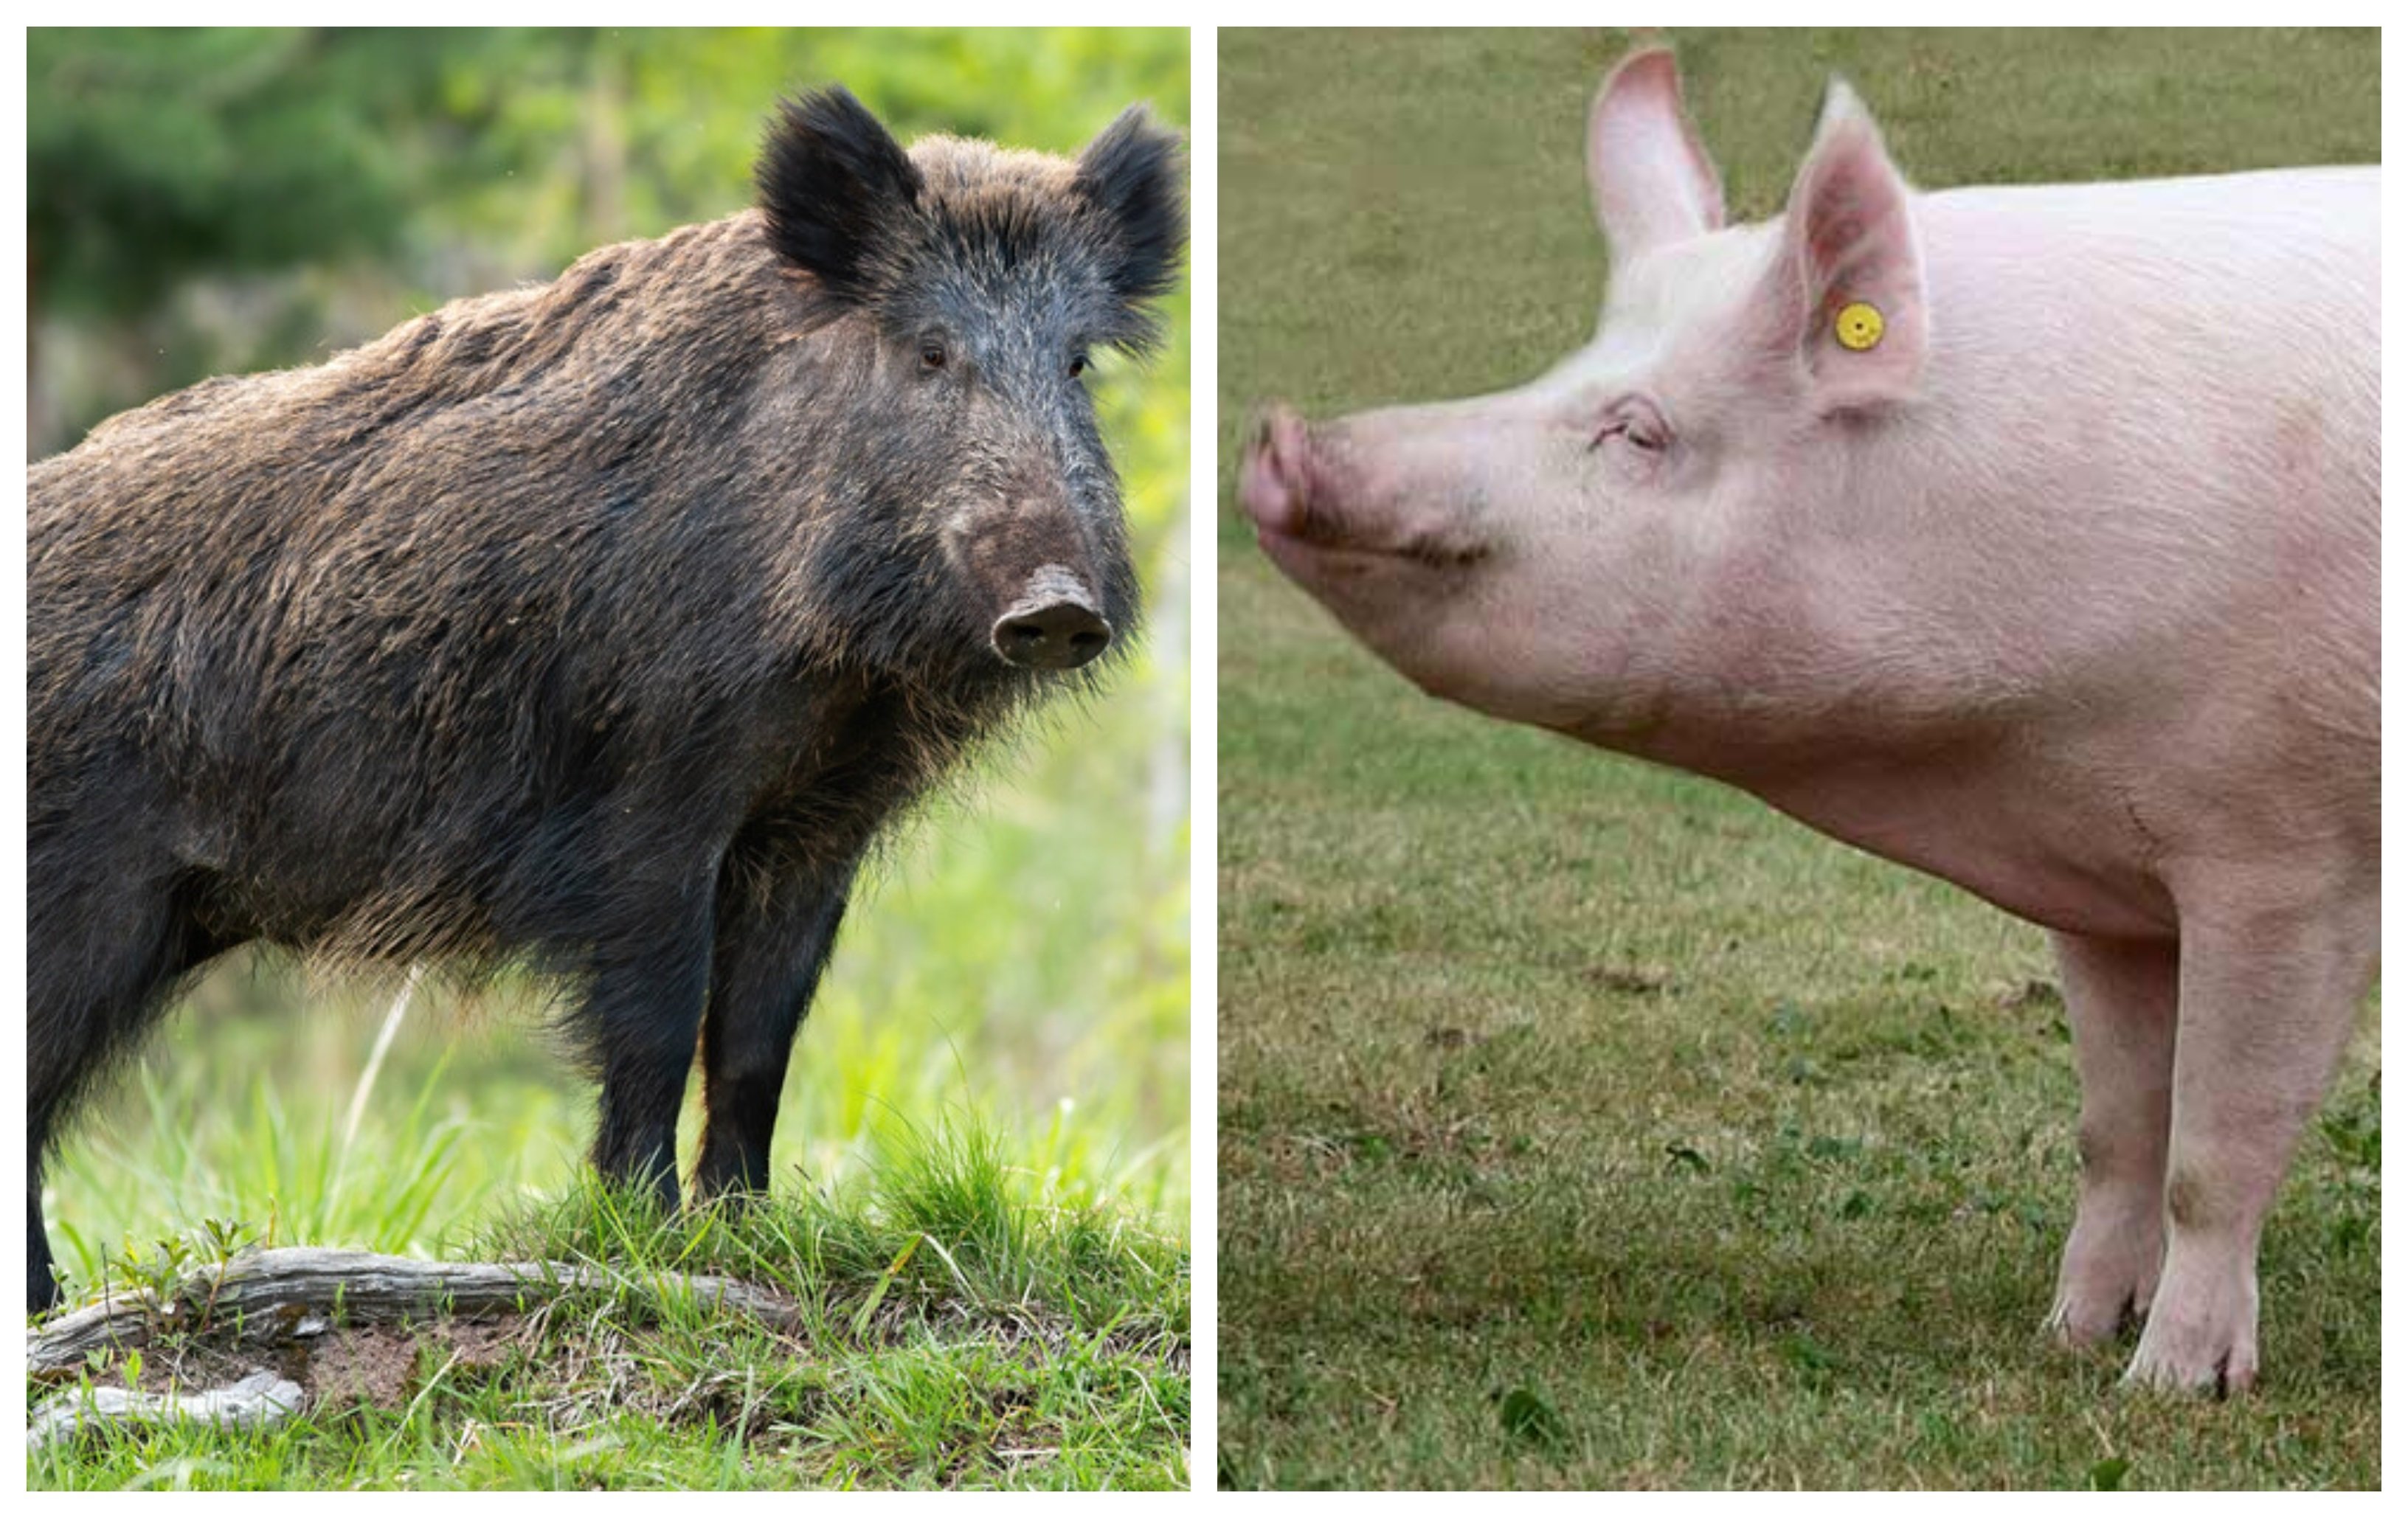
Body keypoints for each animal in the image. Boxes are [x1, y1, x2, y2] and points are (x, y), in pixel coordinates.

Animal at [27, 87, 1184, 1313]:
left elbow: (758, 1040)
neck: (839, 676)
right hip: (86, 900)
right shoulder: (647, 797)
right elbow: (659, 1020)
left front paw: (750, 1235)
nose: (1058, 604)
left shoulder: (814, 827)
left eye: (1076, 363)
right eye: (930, 349)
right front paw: (649, 1241)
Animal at [1239, 48, 2375, 1395]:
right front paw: (2064, 1336)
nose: (1278, 435)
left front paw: (2167, 1387)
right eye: (1566, 366)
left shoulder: (2283, 849)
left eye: (1638, 427)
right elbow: (2115, 1129)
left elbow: (2214, 1148)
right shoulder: (2104, 878)